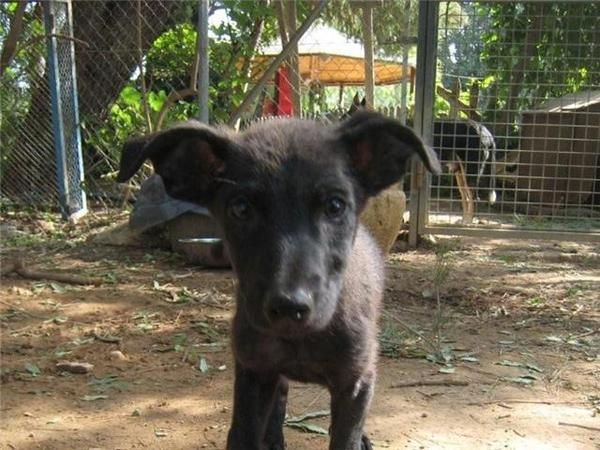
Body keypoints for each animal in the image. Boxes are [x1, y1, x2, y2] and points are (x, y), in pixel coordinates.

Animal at [116, 110, 440, 450]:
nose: (288, 306)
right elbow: (243, 434)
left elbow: (345, 436)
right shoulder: (253, 371)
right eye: (240, 208)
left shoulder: (354, 381)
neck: (300, 339)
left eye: (335, 206)